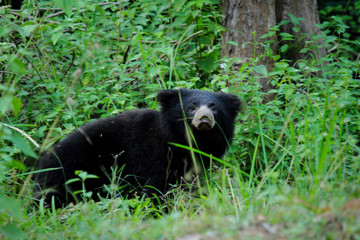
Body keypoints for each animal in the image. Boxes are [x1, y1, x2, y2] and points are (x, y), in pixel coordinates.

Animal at [34, 89, 242, 207]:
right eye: (192, 107)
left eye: (214, 107)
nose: (205, 118)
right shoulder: (153, 156)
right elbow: (156, 188)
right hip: (72, 173)